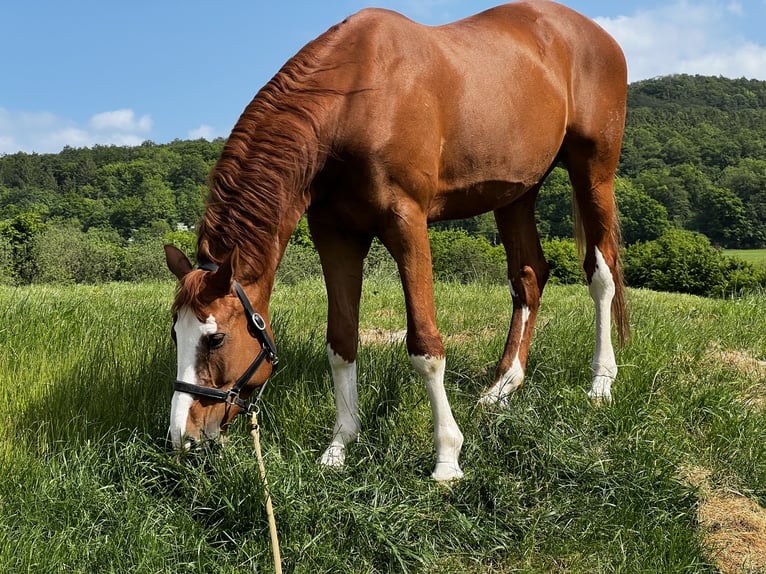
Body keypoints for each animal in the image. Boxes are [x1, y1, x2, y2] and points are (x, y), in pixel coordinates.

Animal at [164, 0, 632, 484]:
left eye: (216, 339)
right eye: (175, 335)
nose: (182, 438)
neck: (353, 99)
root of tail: (595, 33)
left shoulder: (407, 222)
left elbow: (425, 345)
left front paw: (447, 457)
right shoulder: (336, 233)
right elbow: (342, 343)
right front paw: (339, 446)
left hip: (593, 171)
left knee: (600, 275)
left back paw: (600, 383)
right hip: (517, 191)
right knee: (528, 277)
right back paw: (502, 388)